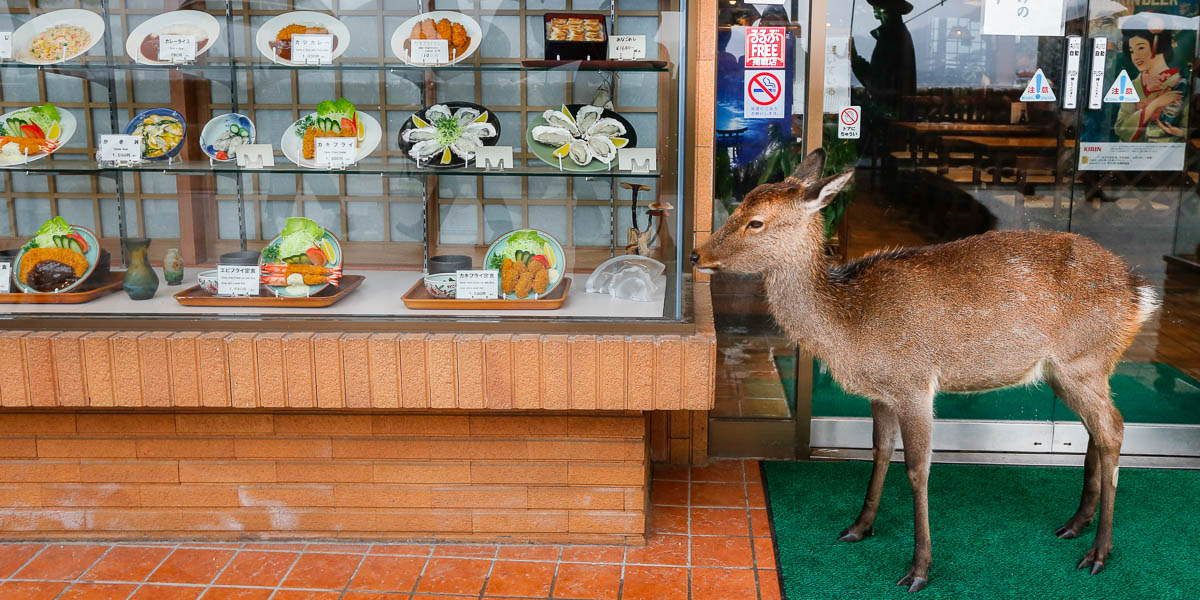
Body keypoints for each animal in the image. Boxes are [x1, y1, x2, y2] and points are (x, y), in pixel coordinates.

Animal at [696, 148, 1161, 590]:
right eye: (740, 203)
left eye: (755, 222)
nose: (698, 253)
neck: (849, 326)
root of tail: (1139, 292)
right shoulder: (881, 393)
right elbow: (880, 451)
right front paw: (859, 527)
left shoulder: (914, 384)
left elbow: (918, 470)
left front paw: (918, 568)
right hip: (1076, 370)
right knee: (1098, 430)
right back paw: (1075, 524)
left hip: (1082, 361)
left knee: (1113, 428)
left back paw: (1099, 552)